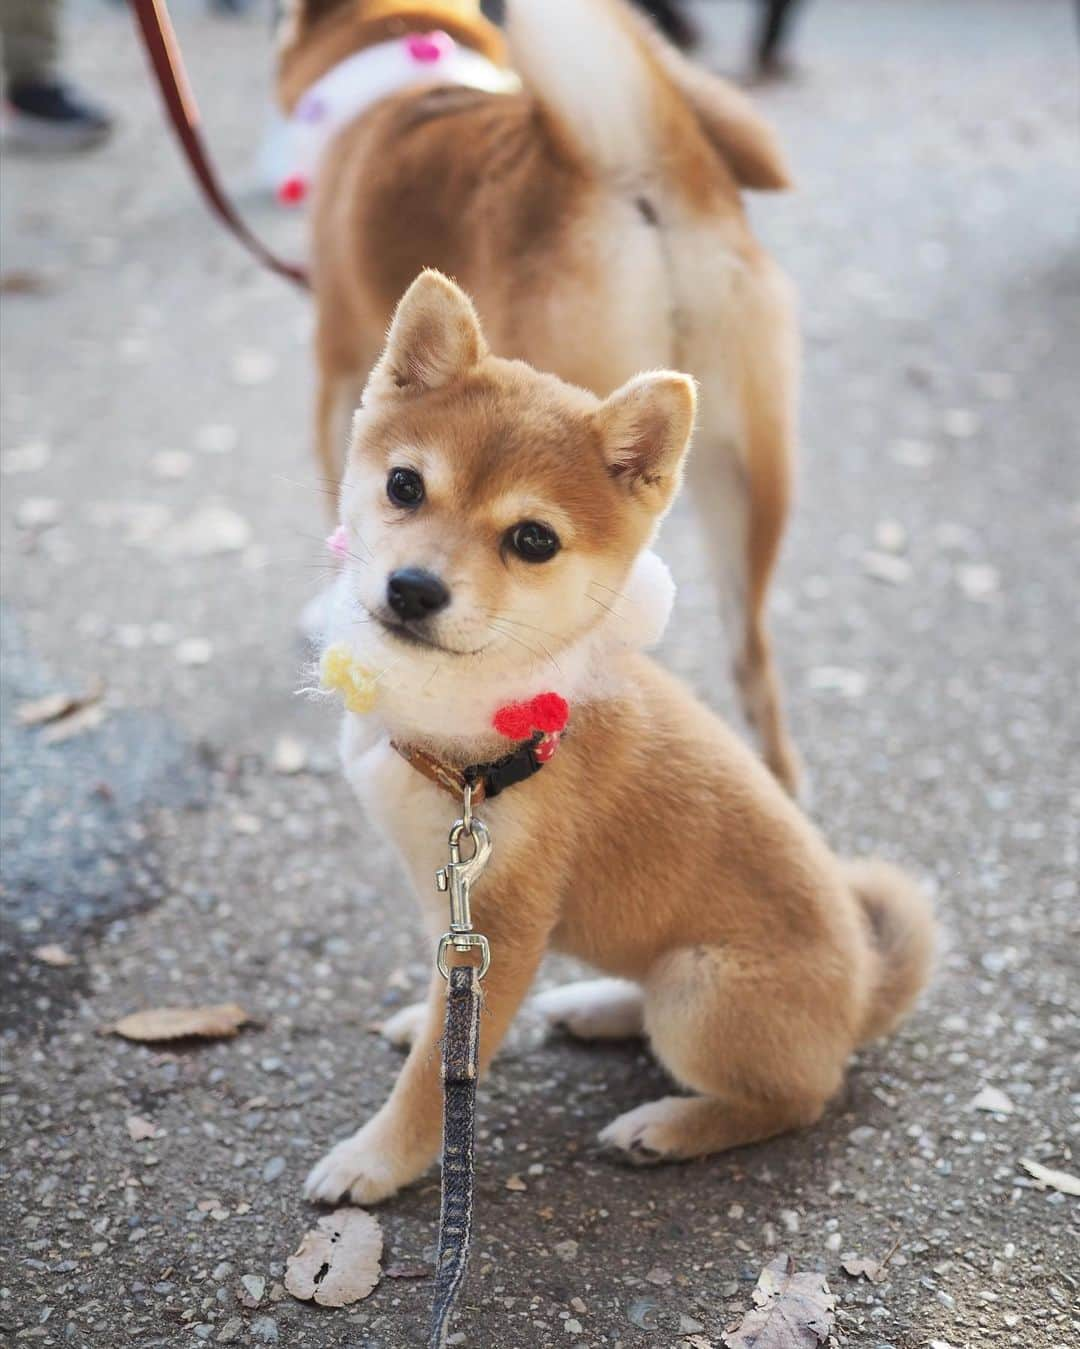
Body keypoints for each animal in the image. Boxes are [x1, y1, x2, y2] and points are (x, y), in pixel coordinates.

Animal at [303, 271, 933, 1203]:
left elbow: (433, 1081)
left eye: (533, 539)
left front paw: (375, 1158)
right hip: (677, 975)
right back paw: (597, 1006)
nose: (413, 588)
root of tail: (862, 991)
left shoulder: (506, 920)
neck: (474, 740)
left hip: (700, 992)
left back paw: (666, 1127)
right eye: (406, 486)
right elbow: (448, 1004)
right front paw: (429, 1016)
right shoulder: (453, 905)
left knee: (795, 1099)